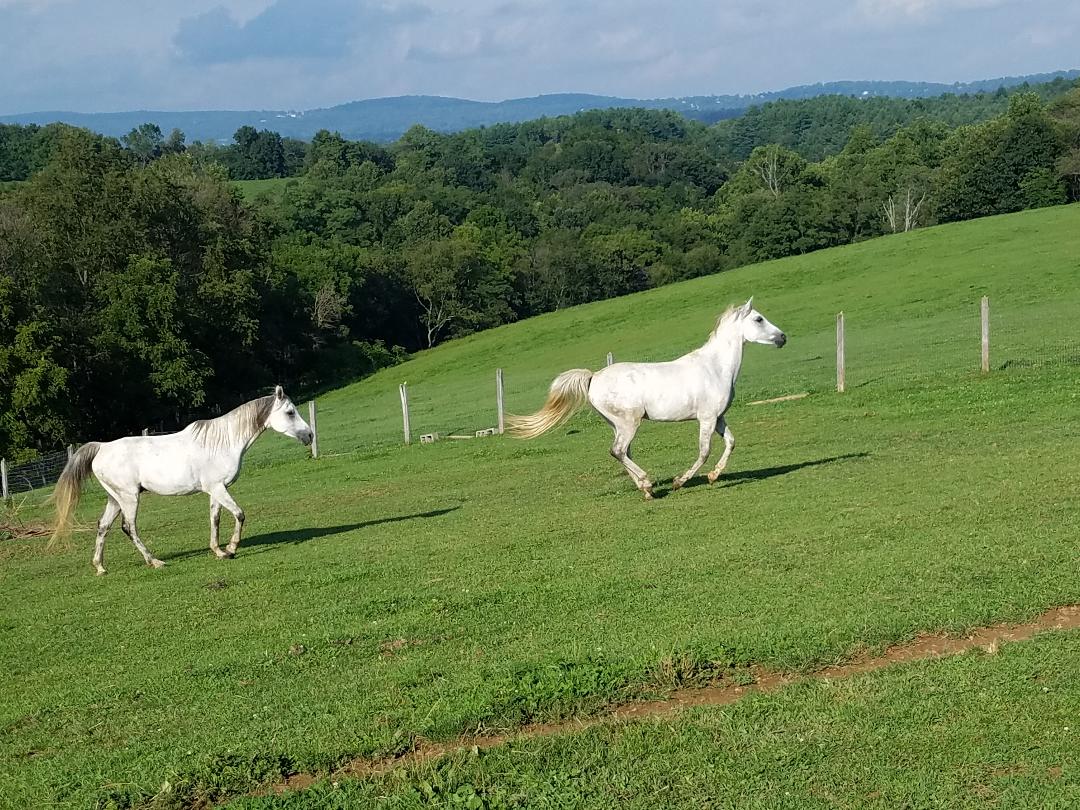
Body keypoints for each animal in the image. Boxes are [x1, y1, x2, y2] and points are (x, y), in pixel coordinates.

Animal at [50, 386, 314, 574]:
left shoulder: (216, 490)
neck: (222, 443)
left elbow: (215, 519)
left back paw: (100, 567)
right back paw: (154, 561)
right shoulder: (218, 488)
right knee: (129, 527)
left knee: (103, 526)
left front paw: (219, 551)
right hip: (129, 498)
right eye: (290, 412)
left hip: (115, 499)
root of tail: (101, 448)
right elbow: (239, 514)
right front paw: (231, 548)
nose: (310, 435)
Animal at [506, 298, 786, 499]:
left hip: (617, 424)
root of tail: (594, 377)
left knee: (623, 452)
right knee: (618, 450)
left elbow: (731, 442)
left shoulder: (718, 418)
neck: (715, 368)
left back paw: (646, 489)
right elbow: (704, 452)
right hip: (629, 422)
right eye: (759, 319)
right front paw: (679, 482)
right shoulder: (706, 418)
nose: (783, 337)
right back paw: (648, 484)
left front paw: (713, 477)